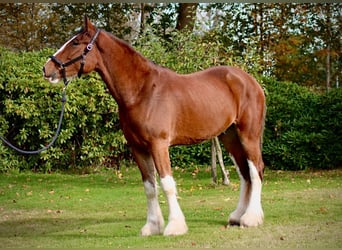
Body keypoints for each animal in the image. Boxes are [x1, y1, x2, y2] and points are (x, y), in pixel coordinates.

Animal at [42, 16, 266, 236]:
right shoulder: (138, 148)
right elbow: (150, 187)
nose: (46, 68)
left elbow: (167, 184)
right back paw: (237, 216)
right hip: (229, 136)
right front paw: (152, 226)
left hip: (248, 135)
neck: (142, 92)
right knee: (245, 173)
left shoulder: (158, 145)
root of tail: (250, 81)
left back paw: (251, 218)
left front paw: (174, 226)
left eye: (75, 43)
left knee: (255, 171)